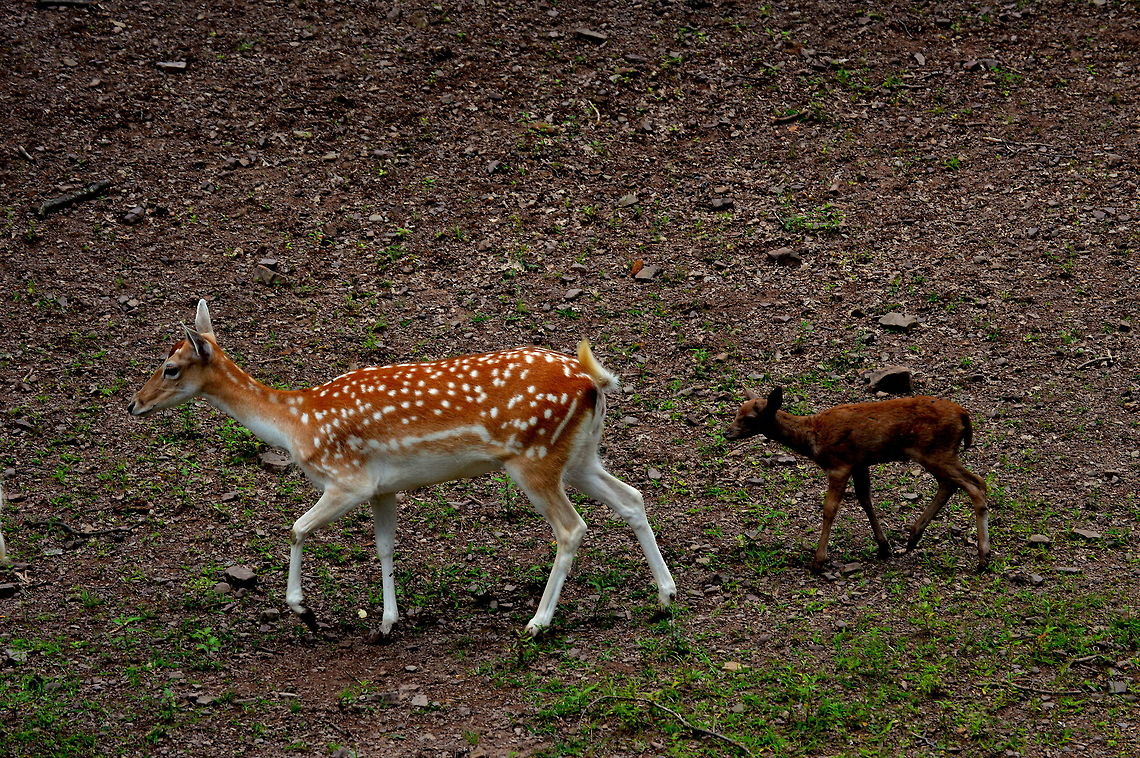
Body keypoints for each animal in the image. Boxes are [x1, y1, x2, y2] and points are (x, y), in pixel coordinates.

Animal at [128, 300, 676, 637]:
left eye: (170, 368)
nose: (134, 404)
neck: (295, 422)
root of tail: (591, 382)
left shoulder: (347, 480)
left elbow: (297, 528)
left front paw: (303, 610)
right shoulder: (382, 488)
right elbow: (386, 547)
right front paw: (388, 622)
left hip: (534, 460)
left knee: (572, 528)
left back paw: (537, 623)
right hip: (580, 455)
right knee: (631, 497)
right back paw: (666, 595)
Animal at [725, 388, 990, 572]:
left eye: (750, 417)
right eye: (737, 411)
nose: (727, 433)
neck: (813, 438)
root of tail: (965, 416)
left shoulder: (839, 464)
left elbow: (830, 508)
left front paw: (818, 561)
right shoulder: (860, 462)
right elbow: (865, 498)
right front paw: (883, 546)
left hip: (936, 451)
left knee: (975, 485)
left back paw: (982, 558)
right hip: (938, 453)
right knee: (957, 483)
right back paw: (913, 537)